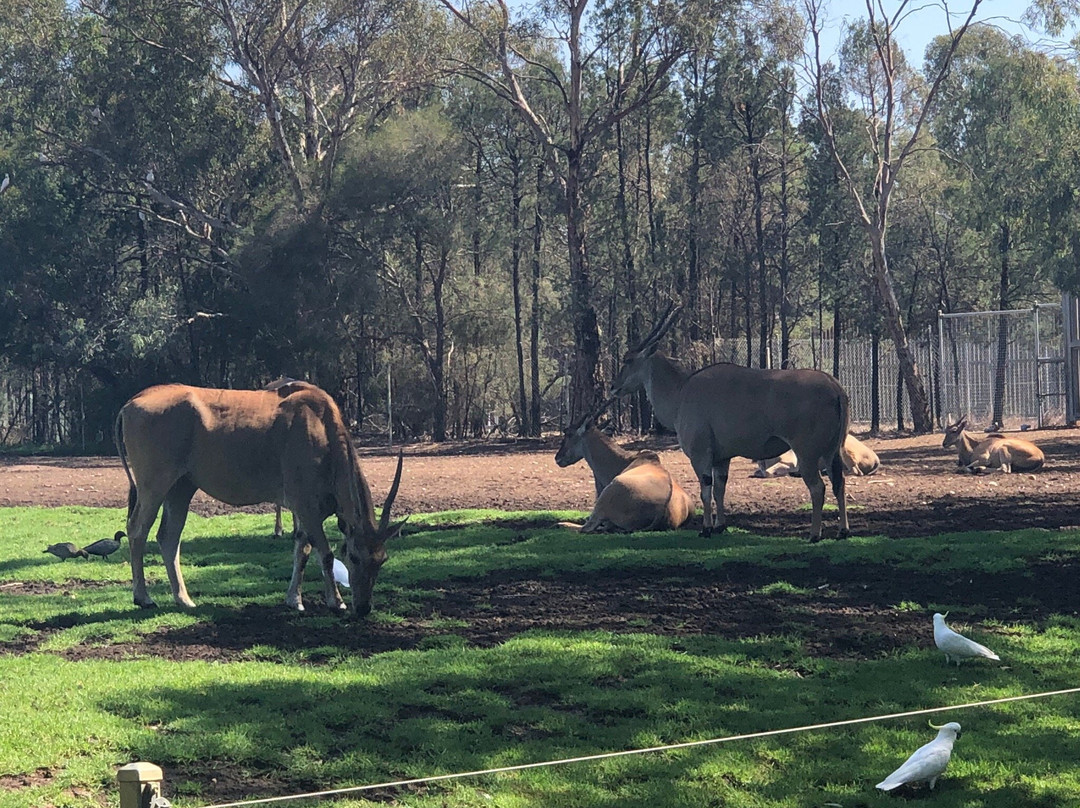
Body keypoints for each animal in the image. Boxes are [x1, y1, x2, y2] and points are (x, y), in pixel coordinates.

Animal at [113, 382, 403, 613]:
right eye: (353, 556)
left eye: (382, 560)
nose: (364, 608)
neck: (321, 428)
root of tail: (130, 403)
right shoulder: (306, 506)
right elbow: (326, 553)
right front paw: (337, 601)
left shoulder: (307, 512)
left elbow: (302, 550)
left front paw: (294, 600)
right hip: (154, 485)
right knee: (137, 529)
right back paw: (143, 598)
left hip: (181, 488)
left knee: (168, 537)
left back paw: (184, 599)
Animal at [613, 306, 846, 540]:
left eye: (628, 360)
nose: (615, 387)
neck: (682, 391)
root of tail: (835, 387)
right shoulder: (721, 459)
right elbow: (719, 489)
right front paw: (720, 526)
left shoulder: (700, 455)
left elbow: (706, 490)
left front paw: (706, 529)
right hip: (832, 452)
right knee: (839, 483)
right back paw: (842, 532)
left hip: (807, 453)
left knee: (818, 488)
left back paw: (814, 534)